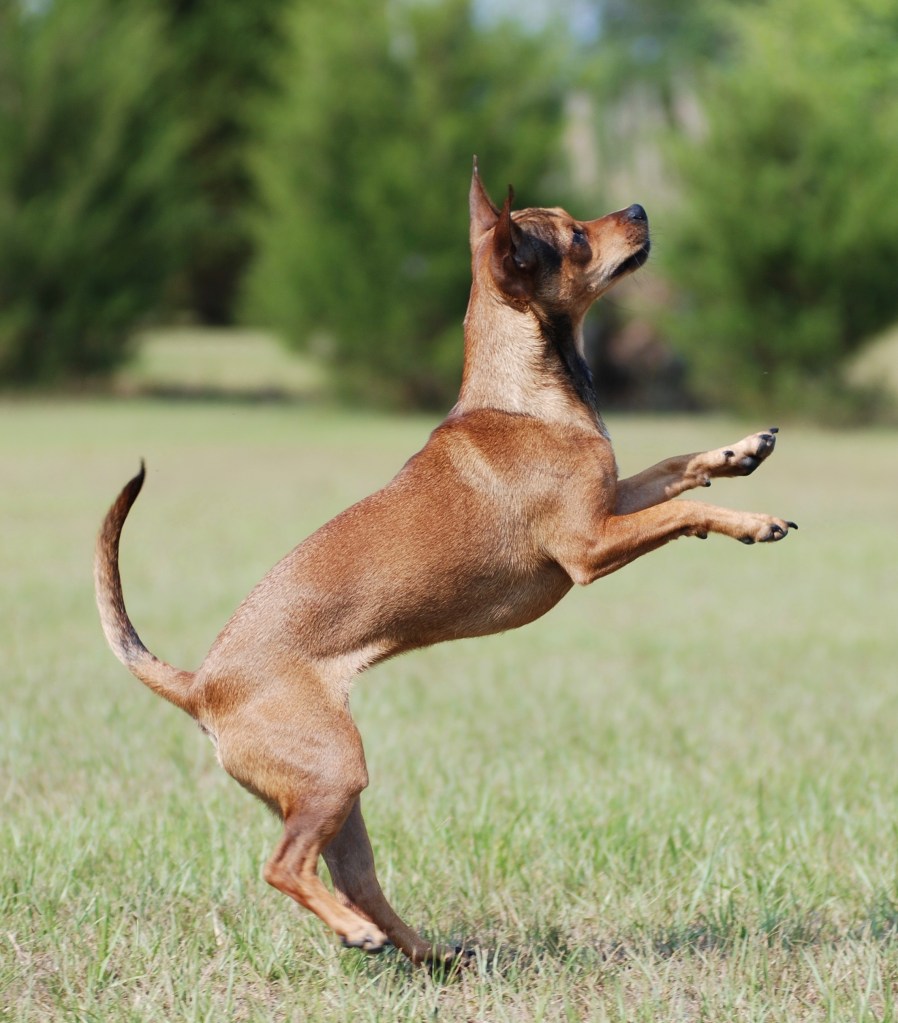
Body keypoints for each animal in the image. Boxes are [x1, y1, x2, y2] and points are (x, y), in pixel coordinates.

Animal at [95, 160, 796, 966]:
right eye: (577, 239)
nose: (641, 208)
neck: (522, 393)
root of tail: (201, 685)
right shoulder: (590, 547)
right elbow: (683, 511)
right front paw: (753, 521)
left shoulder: (615, 499)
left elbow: (677, 466)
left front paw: (739, 452)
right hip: (335, 769)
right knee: (283, 866)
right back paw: (360, 933)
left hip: (338, 797)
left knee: (356, 879)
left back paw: (428, 953)